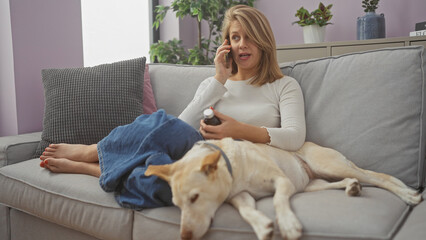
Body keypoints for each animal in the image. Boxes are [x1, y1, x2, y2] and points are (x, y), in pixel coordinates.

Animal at [145, 137, 422, 240]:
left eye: (195, 197)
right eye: (177, 205)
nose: (184, 236)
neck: (233, 170)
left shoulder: (282, 182)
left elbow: (278, 200)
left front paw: (287, 224)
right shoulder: (241, 197)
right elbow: (247, 211)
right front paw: (262, 226)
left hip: (329, 165)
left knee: (378, 178)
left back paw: (408, 194)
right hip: (313, 184)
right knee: (343, 182)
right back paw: (352, 188)